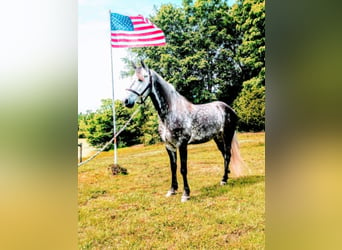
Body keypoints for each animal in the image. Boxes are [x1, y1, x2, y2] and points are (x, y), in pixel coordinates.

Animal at [123, 61, 243, 203]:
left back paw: (223, 180)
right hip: (218, 138)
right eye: (132, 79)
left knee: (228, 155)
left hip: (227, 135)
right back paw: (226, 175)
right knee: (224, 154)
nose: (126, 101)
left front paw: (186, 194)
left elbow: (183, 169)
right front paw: (172, 190)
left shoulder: (182, 144)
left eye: (142, 78)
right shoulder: (169, 146)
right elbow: (173, 167)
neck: (171, 113)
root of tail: (228, 108)